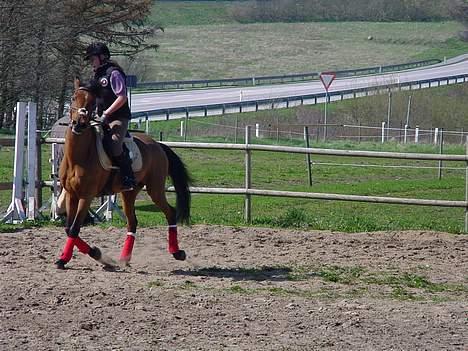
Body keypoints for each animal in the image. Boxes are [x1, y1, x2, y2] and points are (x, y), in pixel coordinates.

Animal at [55, 77, 192, 270]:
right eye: (74, 98)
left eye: (92, 103)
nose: (79, 124)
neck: (78, 157)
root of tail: (157, 145)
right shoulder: (71, 195)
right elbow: (69, 228)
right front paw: (91, 254)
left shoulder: (86, 196)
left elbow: (74, 228)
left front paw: (84, 256)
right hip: (129, 193)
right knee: (132, 222)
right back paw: (124, 258)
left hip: (155, 189)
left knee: (170, 212)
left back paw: (177, 252)